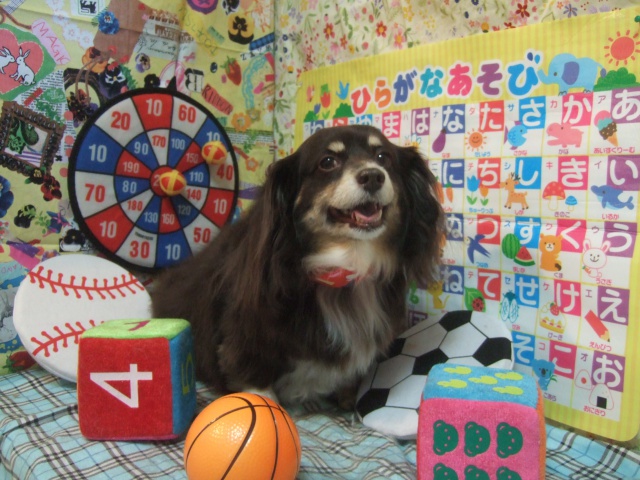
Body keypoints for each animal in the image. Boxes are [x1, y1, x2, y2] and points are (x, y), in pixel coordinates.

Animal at [151, 125, 444, 405]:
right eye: (328, 162)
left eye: (383, 157)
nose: (373, 176)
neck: (343, 267)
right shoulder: (245, 335)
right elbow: (256, 382)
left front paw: (348, 397)